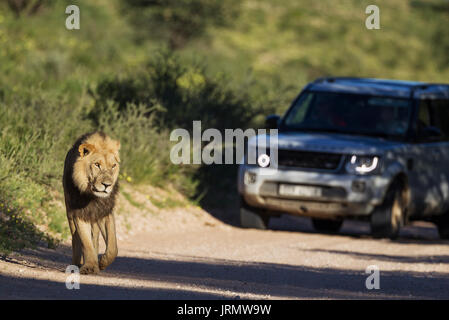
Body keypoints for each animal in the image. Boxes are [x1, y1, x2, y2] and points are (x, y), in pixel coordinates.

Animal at [62, 131, 121, 274]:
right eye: (97, 165)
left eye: (113, 166)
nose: (107, 185)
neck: (93, 197)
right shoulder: (79, 213)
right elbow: (85, 242)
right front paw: (89, 266)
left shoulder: (105, 212)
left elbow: (113, 247)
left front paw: (102, 263)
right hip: (69, 213)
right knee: (76, 240)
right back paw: (76, 265)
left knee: (95, 238)